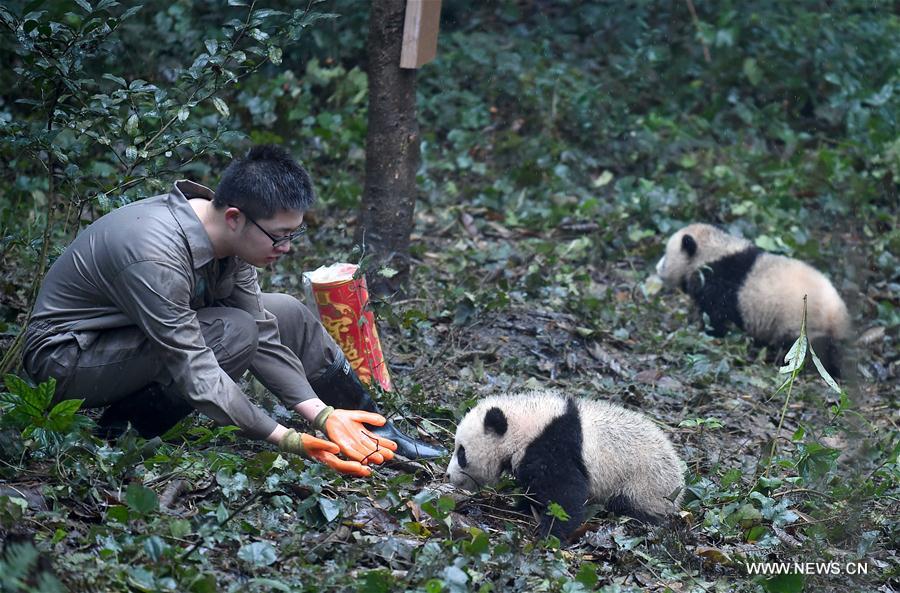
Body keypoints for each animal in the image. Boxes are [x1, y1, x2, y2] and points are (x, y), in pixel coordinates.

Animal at [446, 389, 684, 540]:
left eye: (461, 453)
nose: (448, 476)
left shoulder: (556, 445)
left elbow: (566, 493)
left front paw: (550, 532)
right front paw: (523, 506)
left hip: (644, 484)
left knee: (631, 505)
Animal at [655, 223, 851, 378]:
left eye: (665, 255)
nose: (657, 268)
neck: (713, 251)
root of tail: (836, 316)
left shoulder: (720, 284)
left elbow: (716, 317)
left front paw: (706, 332)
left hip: (802, 325)